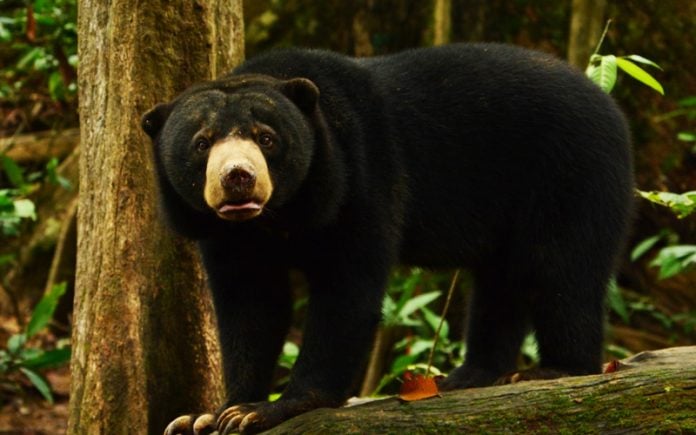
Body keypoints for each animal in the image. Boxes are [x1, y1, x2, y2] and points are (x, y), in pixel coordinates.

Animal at [141, 43, 633, 435]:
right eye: (202, 143)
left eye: (266, 138)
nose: (238, 178)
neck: (275, 216)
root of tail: (611, 107)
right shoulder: (224, 233)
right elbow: (250, 307)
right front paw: (208, 416)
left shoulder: (358, 179)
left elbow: (347, 290)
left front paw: (269, 409)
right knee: (500, 282)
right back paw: (471, 375)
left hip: (570, 172)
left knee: (561, 269)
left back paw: (553, 370)